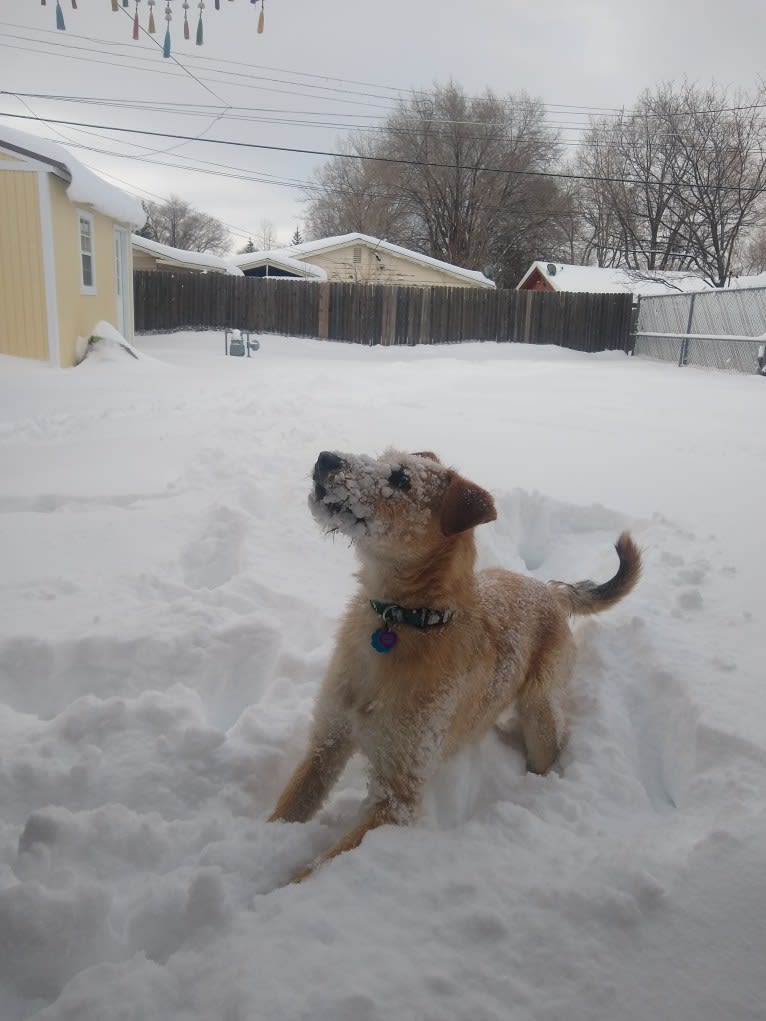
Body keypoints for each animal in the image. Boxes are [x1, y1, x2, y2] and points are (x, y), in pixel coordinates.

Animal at [269, 447, 641, 878]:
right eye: (381, 457)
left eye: (401, 479)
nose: (325, 458)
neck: (403, 620)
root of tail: (549, 590)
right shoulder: (326, 743)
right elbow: (286, 809)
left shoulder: (399, 797)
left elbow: (317, 869)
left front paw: (282, 885)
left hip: (539, 710)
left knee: (551, 745)